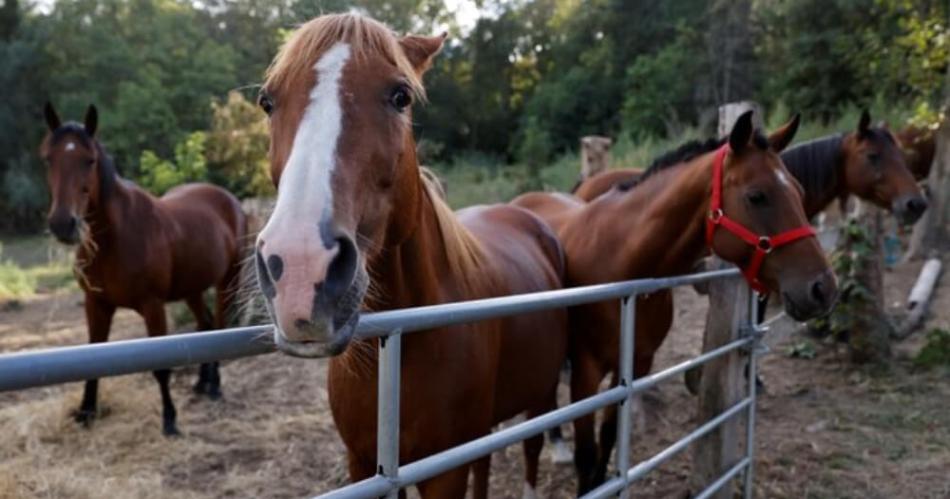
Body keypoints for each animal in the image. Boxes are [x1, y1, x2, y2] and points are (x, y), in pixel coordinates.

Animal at [41, 103, 249, 436]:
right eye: (49, 158)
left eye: (89, 160)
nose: (63, 224)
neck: (114, 239)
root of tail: (228, 199)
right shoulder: (95, 304)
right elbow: (92, 355)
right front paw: (86, 412)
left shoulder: (152, 306)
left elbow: (161, 366)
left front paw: (170, 419)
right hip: (192, 288)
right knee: (204, 325)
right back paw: (202, 383)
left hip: (228, 281)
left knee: (218, 326)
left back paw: (215, 386)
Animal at [249, 13, 568, 498]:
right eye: (267, 102)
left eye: (400, 96)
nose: (301, 271)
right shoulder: (364, 463)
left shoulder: (444, 473)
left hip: (541, 393)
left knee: (532, 448)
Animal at [512, 111, 840, 494]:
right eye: (757, 196)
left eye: (799, 192)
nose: (823, 289)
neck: (620, 262)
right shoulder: (586, 370)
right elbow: (587, 453)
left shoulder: (633, 365)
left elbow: (608, 438)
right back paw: (557, 446)